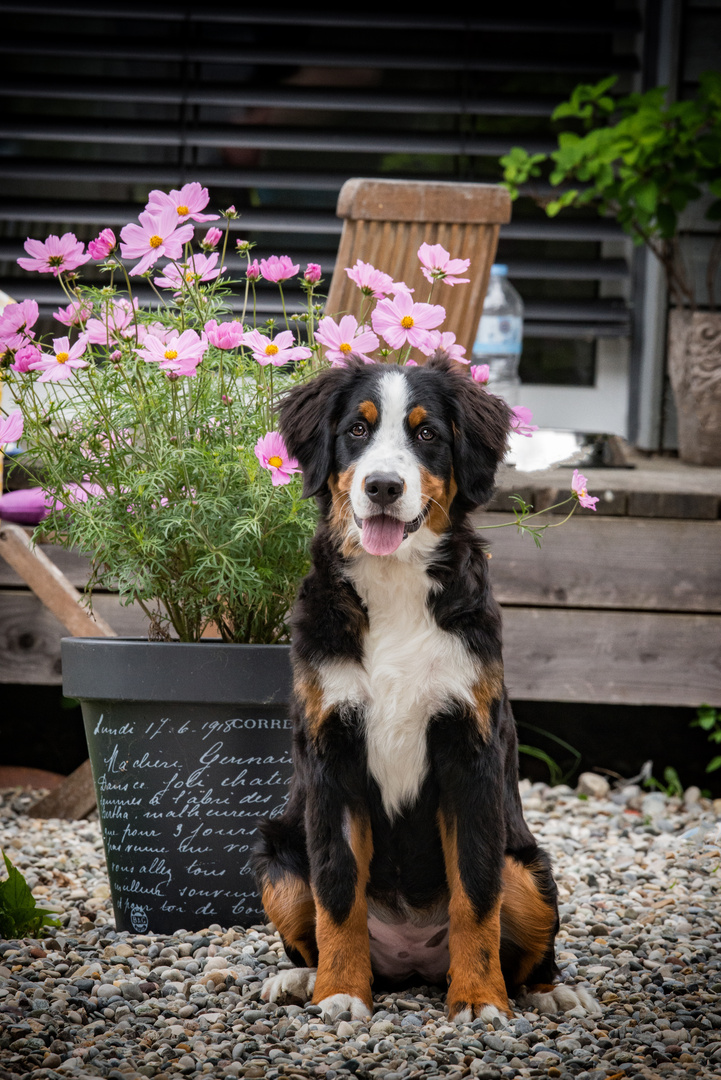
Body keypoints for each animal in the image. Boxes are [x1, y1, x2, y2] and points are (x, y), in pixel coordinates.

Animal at [250, 352, 600, 1019]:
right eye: (358, 430)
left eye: (428, 434)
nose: (383, 486)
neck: (395, 585)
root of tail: (411, 961)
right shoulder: (332, 752)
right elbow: (337, 890)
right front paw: (339, 994)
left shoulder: (470, 751)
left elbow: (477, 894)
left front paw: (481, 1000)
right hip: (279, 859)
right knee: (309, 914)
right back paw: (302, 978)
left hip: (530, 868)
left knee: (526, 943)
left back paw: (550, 993)